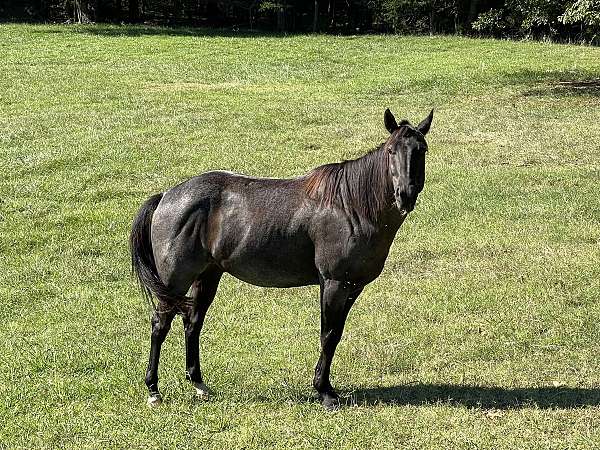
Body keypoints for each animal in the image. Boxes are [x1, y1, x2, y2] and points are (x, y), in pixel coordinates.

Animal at [130, 107, 432, 410]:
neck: (351, 206)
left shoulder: (351, 286)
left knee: (192, 323)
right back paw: (153, 390)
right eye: (391, 150)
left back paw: (199, 384)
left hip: (207, 276)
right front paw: (324, 391)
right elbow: (328, 335)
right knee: (160, 324)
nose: (405, 195)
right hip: (175, 280)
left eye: (422, 149)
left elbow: (335, 334)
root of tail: (165, 196)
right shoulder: (334, 283)